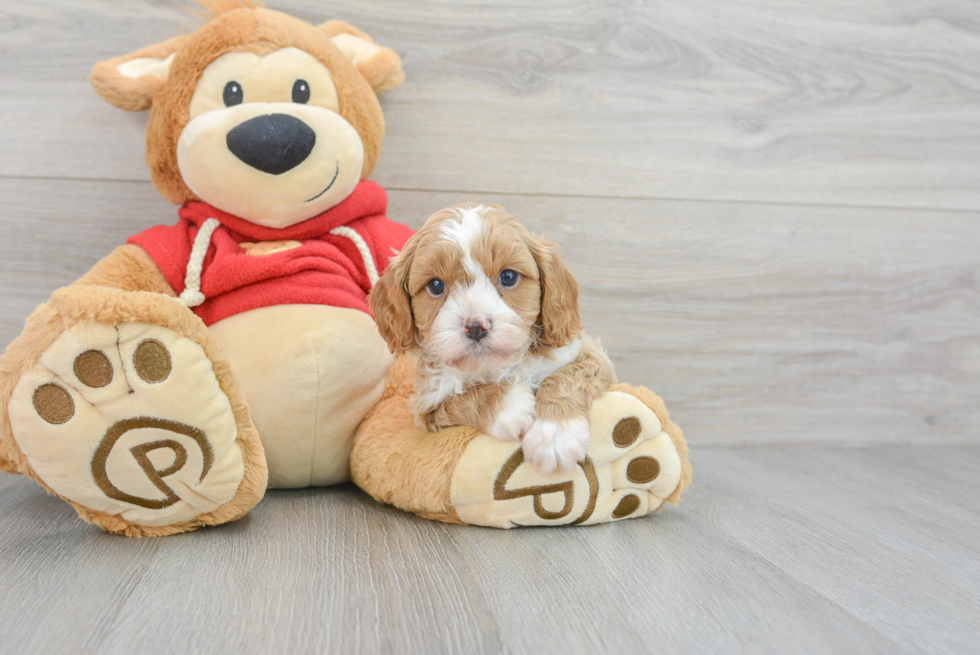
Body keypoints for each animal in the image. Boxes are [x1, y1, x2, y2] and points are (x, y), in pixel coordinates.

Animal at [368, 202, 612, 474]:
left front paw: (556, 435)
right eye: (435, 285)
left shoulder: (588, 354)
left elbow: (566, 376)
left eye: (508, 276)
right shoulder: (426, 407)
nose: (476, 327)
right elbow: (461, 399)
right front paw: (512, 406)